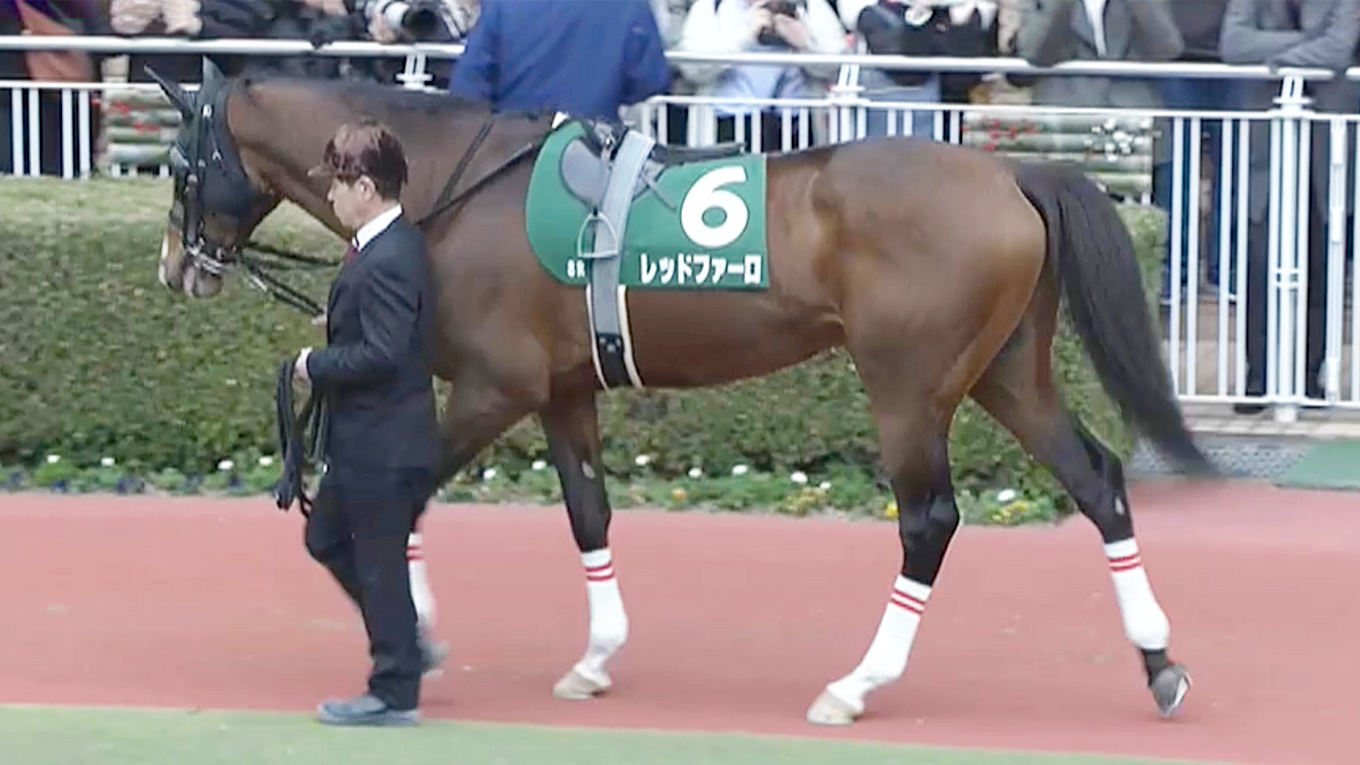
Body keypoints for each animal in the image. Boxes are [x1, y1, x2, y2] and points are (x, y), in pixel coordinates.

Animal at [146, 58, 1212, 726]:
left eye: (182, 165)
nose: (177, 267)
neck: (454, 185)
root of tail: (1012, 175)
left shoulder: (496, 385)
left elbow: (397, 498)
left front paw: (418, 638)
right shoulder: (563, 389)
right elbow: (587, 512)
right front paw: (594, 657)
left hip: (909, 386)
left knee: (929, 521)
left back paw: (857, 683)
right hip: (1003, 371)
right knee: (1097, 478)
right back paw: (1159, 663)